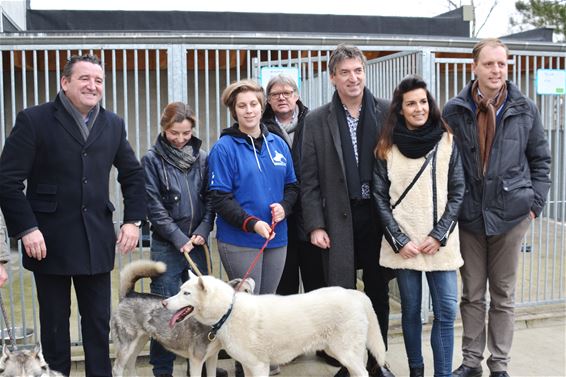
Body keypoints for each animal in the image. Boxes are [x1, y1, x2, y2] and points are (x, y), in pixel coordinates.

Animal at [109, 258, 255, 376]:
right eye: (246, 291)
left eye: (186, 293)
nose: (164, 303)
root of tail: (129, 294)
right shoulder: (196, 361)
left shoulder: (212, 357)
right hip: (126, 346)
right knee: (117, 368)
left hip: (139, 342)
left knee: (130, 363)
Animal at [163, 272, 386, 374]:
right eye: (179, 290)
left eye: (186, 293)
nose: (164, 303)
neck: (229, 310)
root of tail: (355, 294)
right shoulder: (247, 366)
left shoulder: (260, 366)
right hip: (338, 352)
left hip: (346, 354)